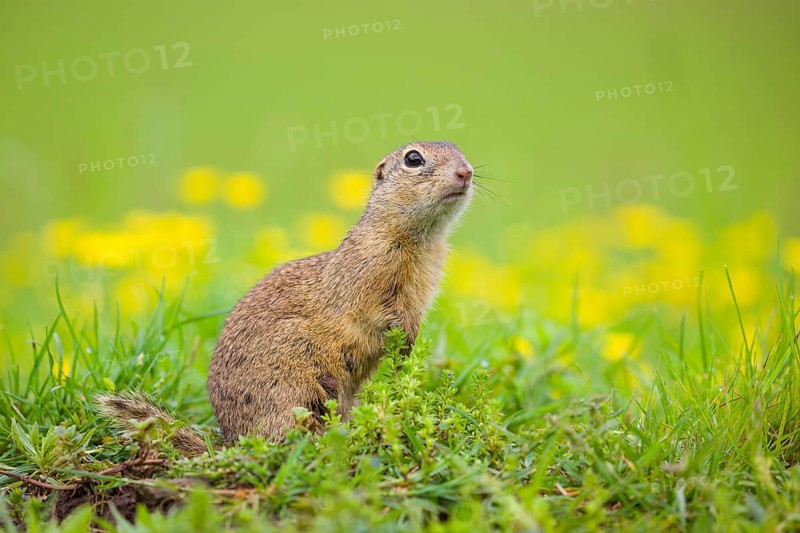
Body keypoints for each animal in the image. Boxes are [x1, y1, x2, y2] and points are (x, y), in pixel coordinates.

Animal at [97, 141, 474, 456]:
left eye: (458, 148)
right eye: (414, 159)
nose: (467, 171)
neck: (419, 237)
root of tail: (233, 442)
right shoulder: (366, 280)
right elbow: (374, 314)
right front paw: (402, 346)